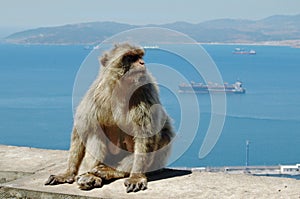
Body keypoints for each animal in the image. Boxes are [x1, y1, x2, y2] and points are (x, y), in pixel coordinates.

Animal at [45, 42, 175, 193]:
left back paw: (112, 171)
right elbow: (82, 128)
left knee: (162, 138)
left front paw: (136, 177)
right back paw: (91, 176)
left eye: (140, 56)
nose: (142, 63)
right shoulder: (96, 92)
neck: (122, 87)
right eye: (130, 57)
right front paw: (68, 173)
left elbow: (146, 134)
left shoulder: (144, 91)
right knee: (95, 132)